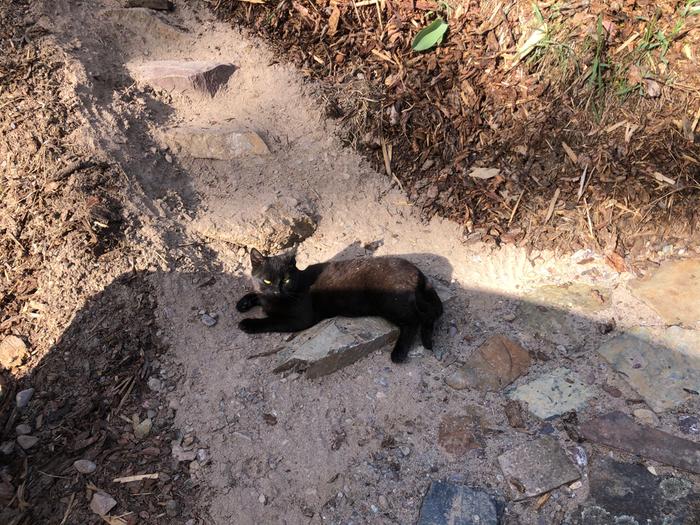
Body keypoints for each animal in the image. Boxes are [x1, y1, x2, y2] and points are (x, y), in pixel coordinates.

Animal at [235, 248, 442, 362]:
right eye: (267, 281)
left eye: (286, 280)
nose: (278, 291)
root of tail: (417, 271)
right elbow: (258, 296)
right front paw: (243, 302)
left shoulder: (301, 319)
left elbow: (271, 320)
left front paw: (248, 323)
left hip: (391, 302)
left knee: (415, 320)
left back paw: (400, 353)